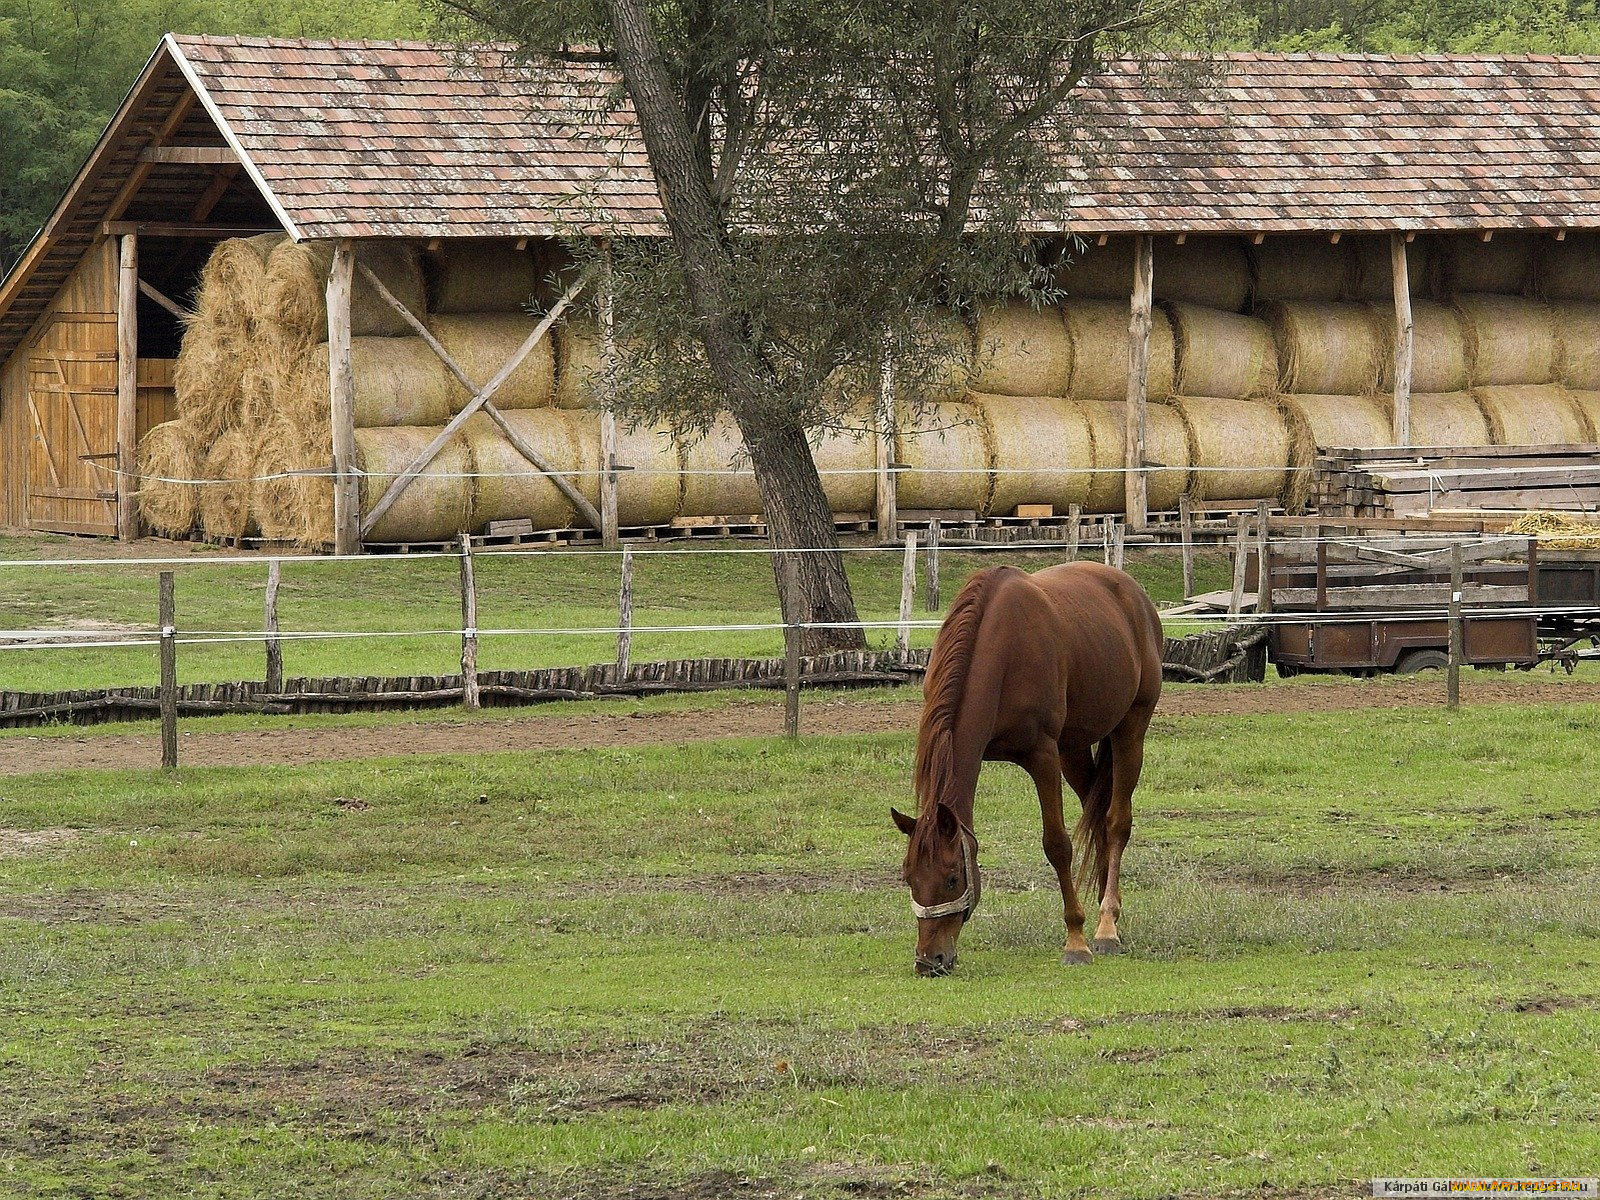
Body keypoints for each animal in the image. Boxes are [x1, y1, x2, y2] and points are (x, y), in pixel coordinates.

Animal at [889, 563, 1164, 979]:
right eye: (909, 877)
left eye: (953, 879)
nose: (929, 961)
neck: (1002, 649)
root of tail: (1136, 595)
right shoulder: (1055, 753)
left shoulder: (1042, 757)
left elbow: (1058, 845)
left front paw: (1076, 941)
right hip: (1074, 750)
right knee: (1098, 820)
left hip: (1130, 729)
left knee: (1116, 822)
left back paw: (1106, 927)